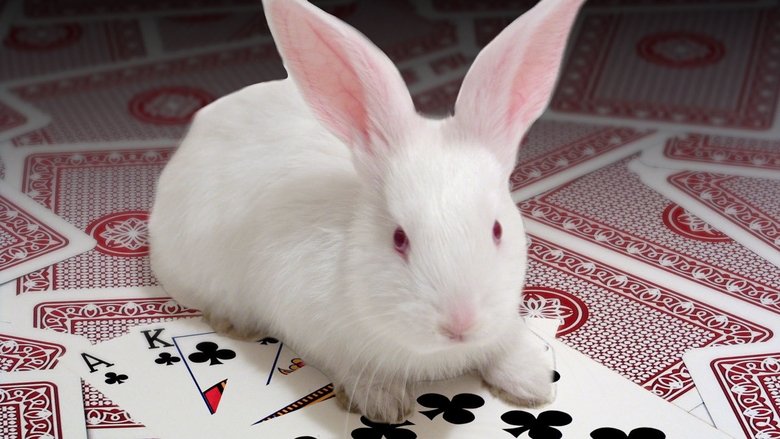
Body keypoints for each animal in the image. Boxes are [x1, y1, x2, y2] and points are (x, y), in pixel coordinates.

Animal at [149, 0, 585, 424]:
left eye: (496, 230)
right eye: (398, 238)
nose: (459, 324)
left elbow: (506, 345)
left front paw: (533, 382)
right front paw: (384, 401)